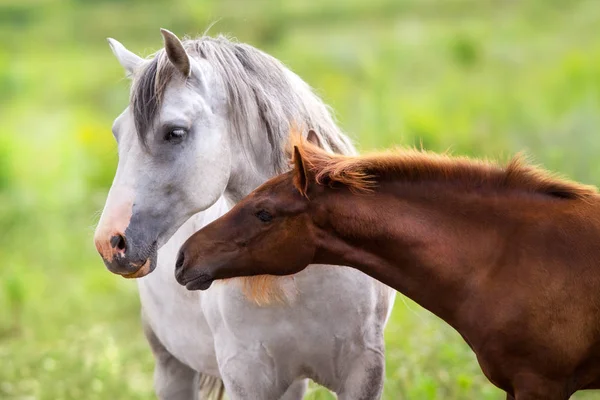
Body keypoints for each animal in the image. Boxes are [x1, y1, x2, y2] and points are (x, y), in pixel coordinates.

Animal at [94, 28, 396, 400]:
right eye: (117, 134)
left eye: (174, 132)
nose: (110, 243)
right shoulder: (246, 377)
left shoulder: (364, 370)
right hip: (171, 364)